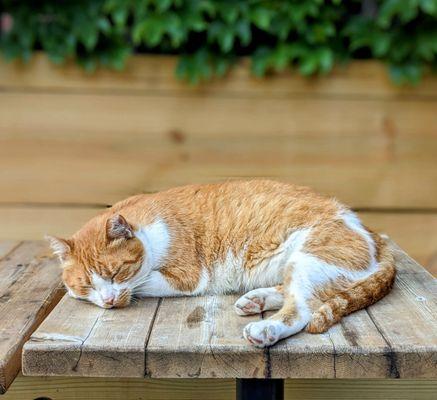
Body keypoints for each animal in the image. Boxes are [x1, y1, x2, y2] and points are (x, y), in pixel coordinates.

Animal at [47, 180, 396, 346]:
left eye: (117, 272)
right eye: (87, 284)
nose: (107, 300)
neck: (149, 226)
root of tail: (371, 232)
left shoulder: (187, 276)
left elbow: (141, 284)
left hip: (309, 258)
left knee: (302, 309)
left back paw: (265, 328)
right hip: (297, 265)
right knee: (293, 291)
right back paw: (255, 300)